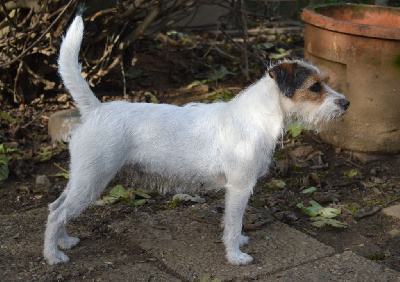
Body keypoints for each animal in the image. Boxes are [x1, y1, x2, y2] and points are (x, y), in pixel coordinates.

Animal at [44, 7, 350, 266]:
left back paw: (64, 242)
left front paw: (238, 242)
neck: (257, 116)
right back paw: (52, 256)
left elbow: (232, 224)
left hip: (81, 178)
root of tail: (95, 109)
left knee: (55, 207)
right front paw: (235, 256)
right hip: (92, 180)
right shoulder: (239, 188)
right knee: (57, 214)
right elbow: (233, 223)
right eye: (315, 87)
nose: (346, 103)